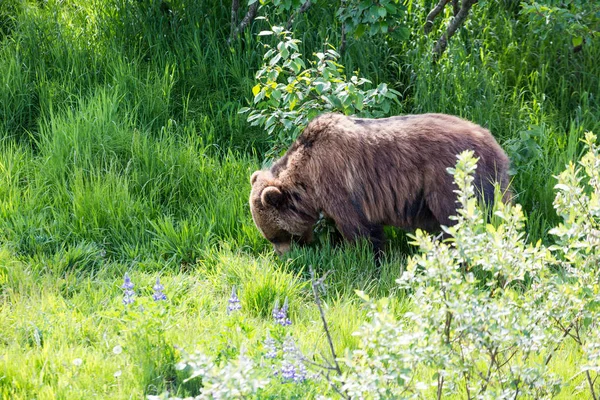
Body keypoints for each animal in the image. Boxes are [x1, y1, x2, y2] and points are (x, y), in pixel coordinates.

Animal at [248, 111, 510, 260]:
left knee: (457, 218)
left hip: (450, 180)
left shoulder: (339, 185)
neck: (307, 180)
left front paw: (368, 258)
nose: (285, 257)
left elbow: (360, 229)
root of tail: (493, 143)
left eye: (276, 236)